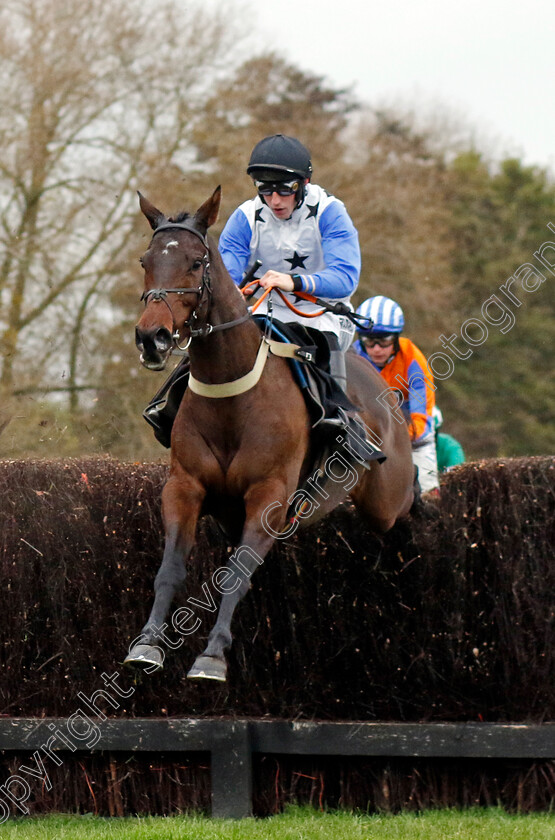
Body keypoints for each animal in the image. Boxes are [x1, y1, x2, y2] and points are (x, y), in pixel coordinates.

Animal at [124, 185, 414, 684]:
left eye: (196, 262)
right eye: (147, 260)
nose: (152, 337)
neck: (231, 397)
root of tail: (381, 387)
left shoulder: (270, 494)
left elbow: (238, 572)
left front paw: (211, 656)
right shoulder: (184, 486)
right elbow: (170, 568)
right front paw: (147, 643)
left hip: (385, 499)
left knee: (403, 507)